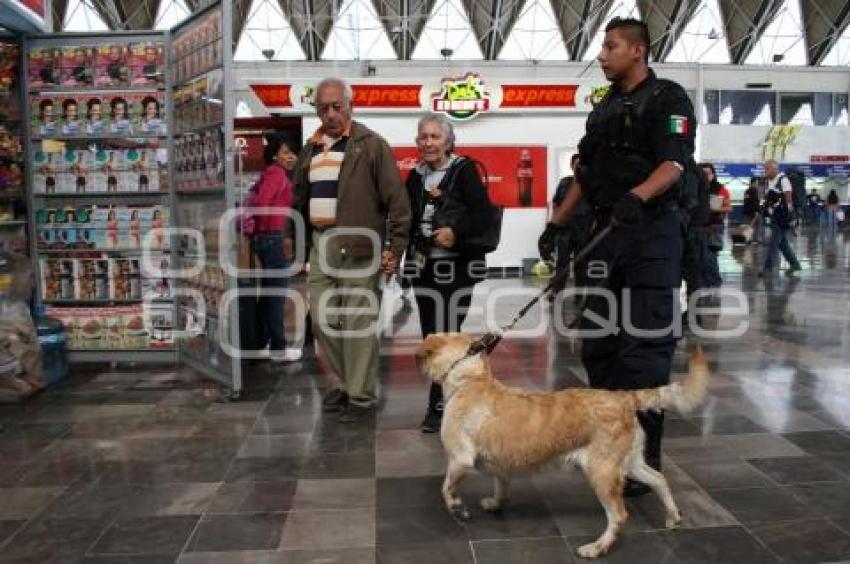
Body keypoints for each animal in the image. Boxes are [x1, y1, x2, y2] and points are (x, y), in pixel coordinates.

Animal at [414, 332, 704, 556]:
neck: (470, 379)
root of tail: (624, 397)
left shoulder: (459, 460)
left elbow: (446, 489)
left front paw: (457, 509)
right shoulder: (501, 465)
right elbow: (501, 486)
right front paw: (496, 503)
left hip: (601, 472)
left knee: (619, 516)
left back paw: (596, 548)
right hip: (628, 462)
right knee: (659, 479)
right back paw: (673, 516)